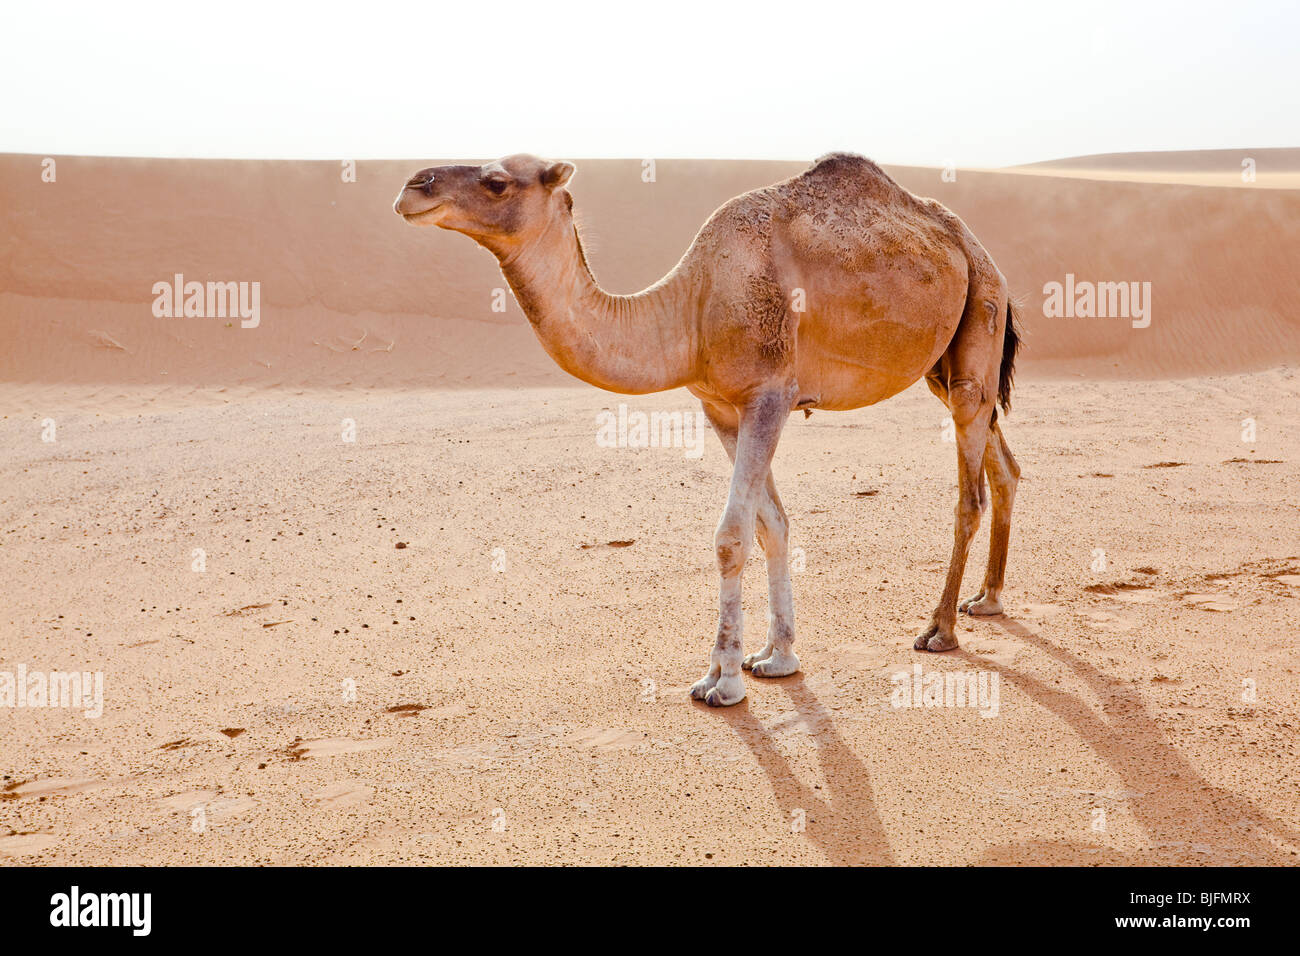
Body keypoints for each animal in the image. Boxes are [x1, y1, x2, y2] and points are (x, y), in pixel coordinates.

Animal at [390, 153, 1019, 707]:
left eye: (496, 182)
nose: (414, 186)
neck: (690, 308)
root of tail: (977, 249)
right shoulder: (720, 406)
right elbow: (772, 526)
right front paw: (775, 657)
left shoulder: (770, 394)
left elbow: (730, 536)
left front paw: (724, 681)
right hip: (945, 362)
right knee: (1003, 463)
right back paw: (986, 599)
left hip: (980, 313)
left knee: (970, 490)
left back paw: (940, 628)